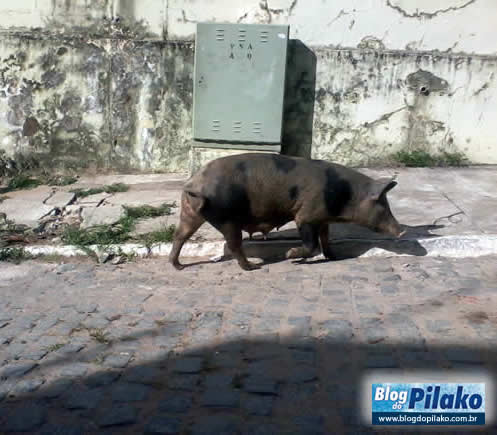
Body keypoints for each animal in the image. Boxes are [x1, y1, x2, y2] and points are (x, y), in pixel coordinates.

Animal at [169, 153, 404, 271]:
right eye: (383, 205)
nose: (401, 231)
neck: (345, 194)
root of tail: (193, 184)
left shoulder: (322, 218)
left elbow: (326, 240)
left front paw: (335, 257)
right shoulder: (305, 215)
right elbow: (312, 245)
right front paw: (290, 256)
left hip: (191, 213)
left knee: (180, 235)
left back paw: (178, 266)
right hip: (227, 218)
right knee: (234, 244)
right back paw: (252, 267)